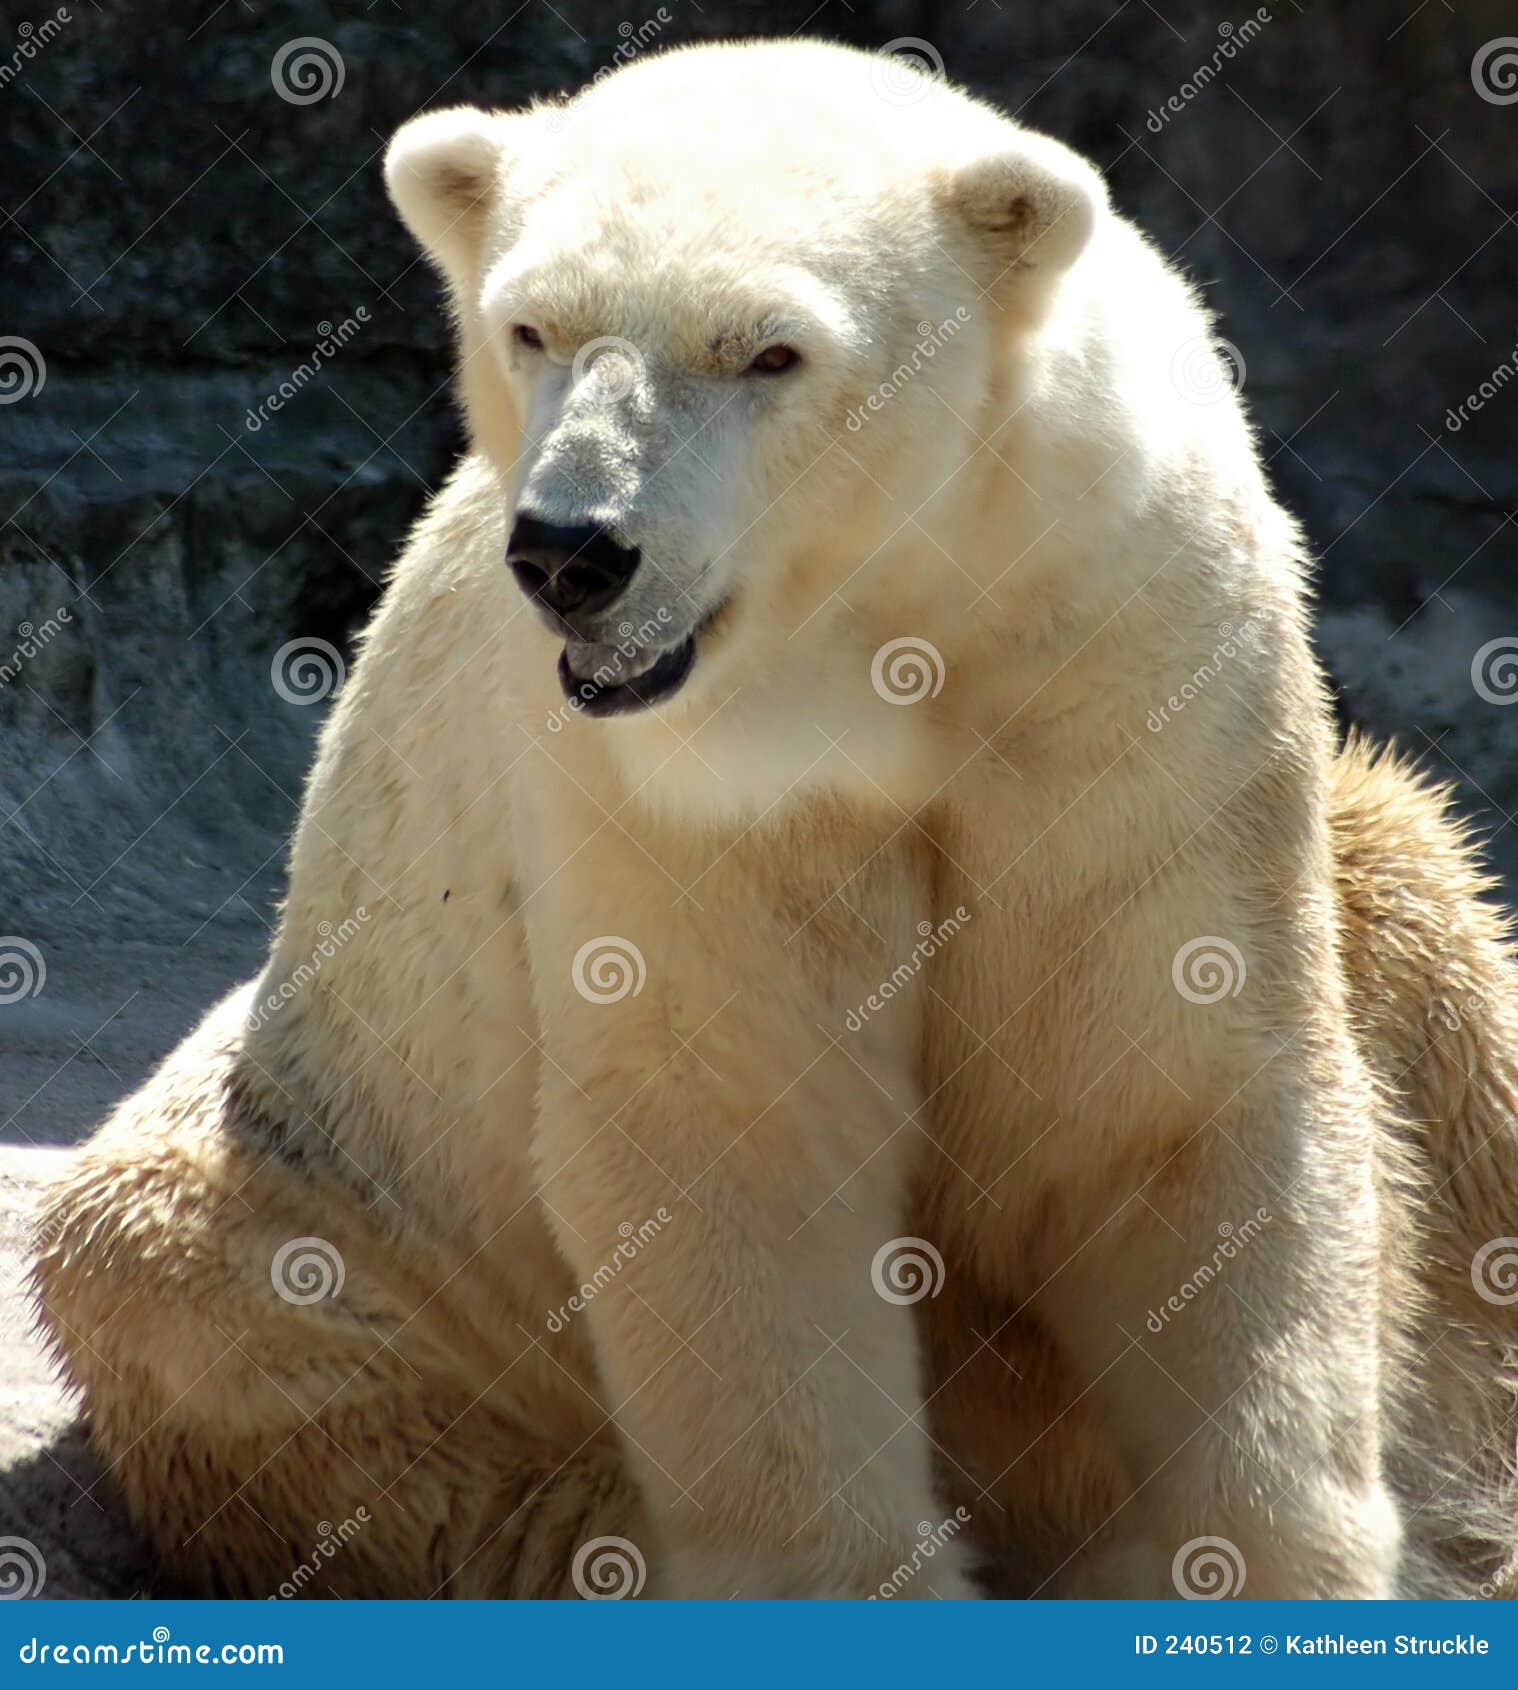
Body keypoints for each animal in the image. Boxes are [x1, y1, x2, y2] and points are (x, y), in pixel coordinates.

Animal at [33, 38, 1518, 1600]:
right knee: (224, 1311)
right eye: (531, 327)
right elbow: (735, 1126)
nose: (573, 553)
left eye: (769, 352)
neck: (879, 637)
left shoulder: (1127, 661)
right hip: (350, 1185)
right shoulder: (670, 787)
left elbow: (1170, 1089)